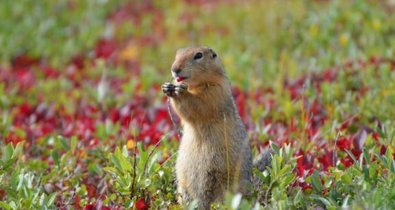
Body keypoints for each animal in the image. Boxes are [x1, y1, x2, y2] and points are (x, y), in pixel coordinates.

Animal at [162, 46, 252, 209]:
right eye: (177, 54)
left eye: (198, 55)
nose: (175, 69)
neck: (196, 85)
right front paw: (168, 87)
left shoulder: (216, 90)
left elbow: (200, 104)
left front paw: (180, 91)